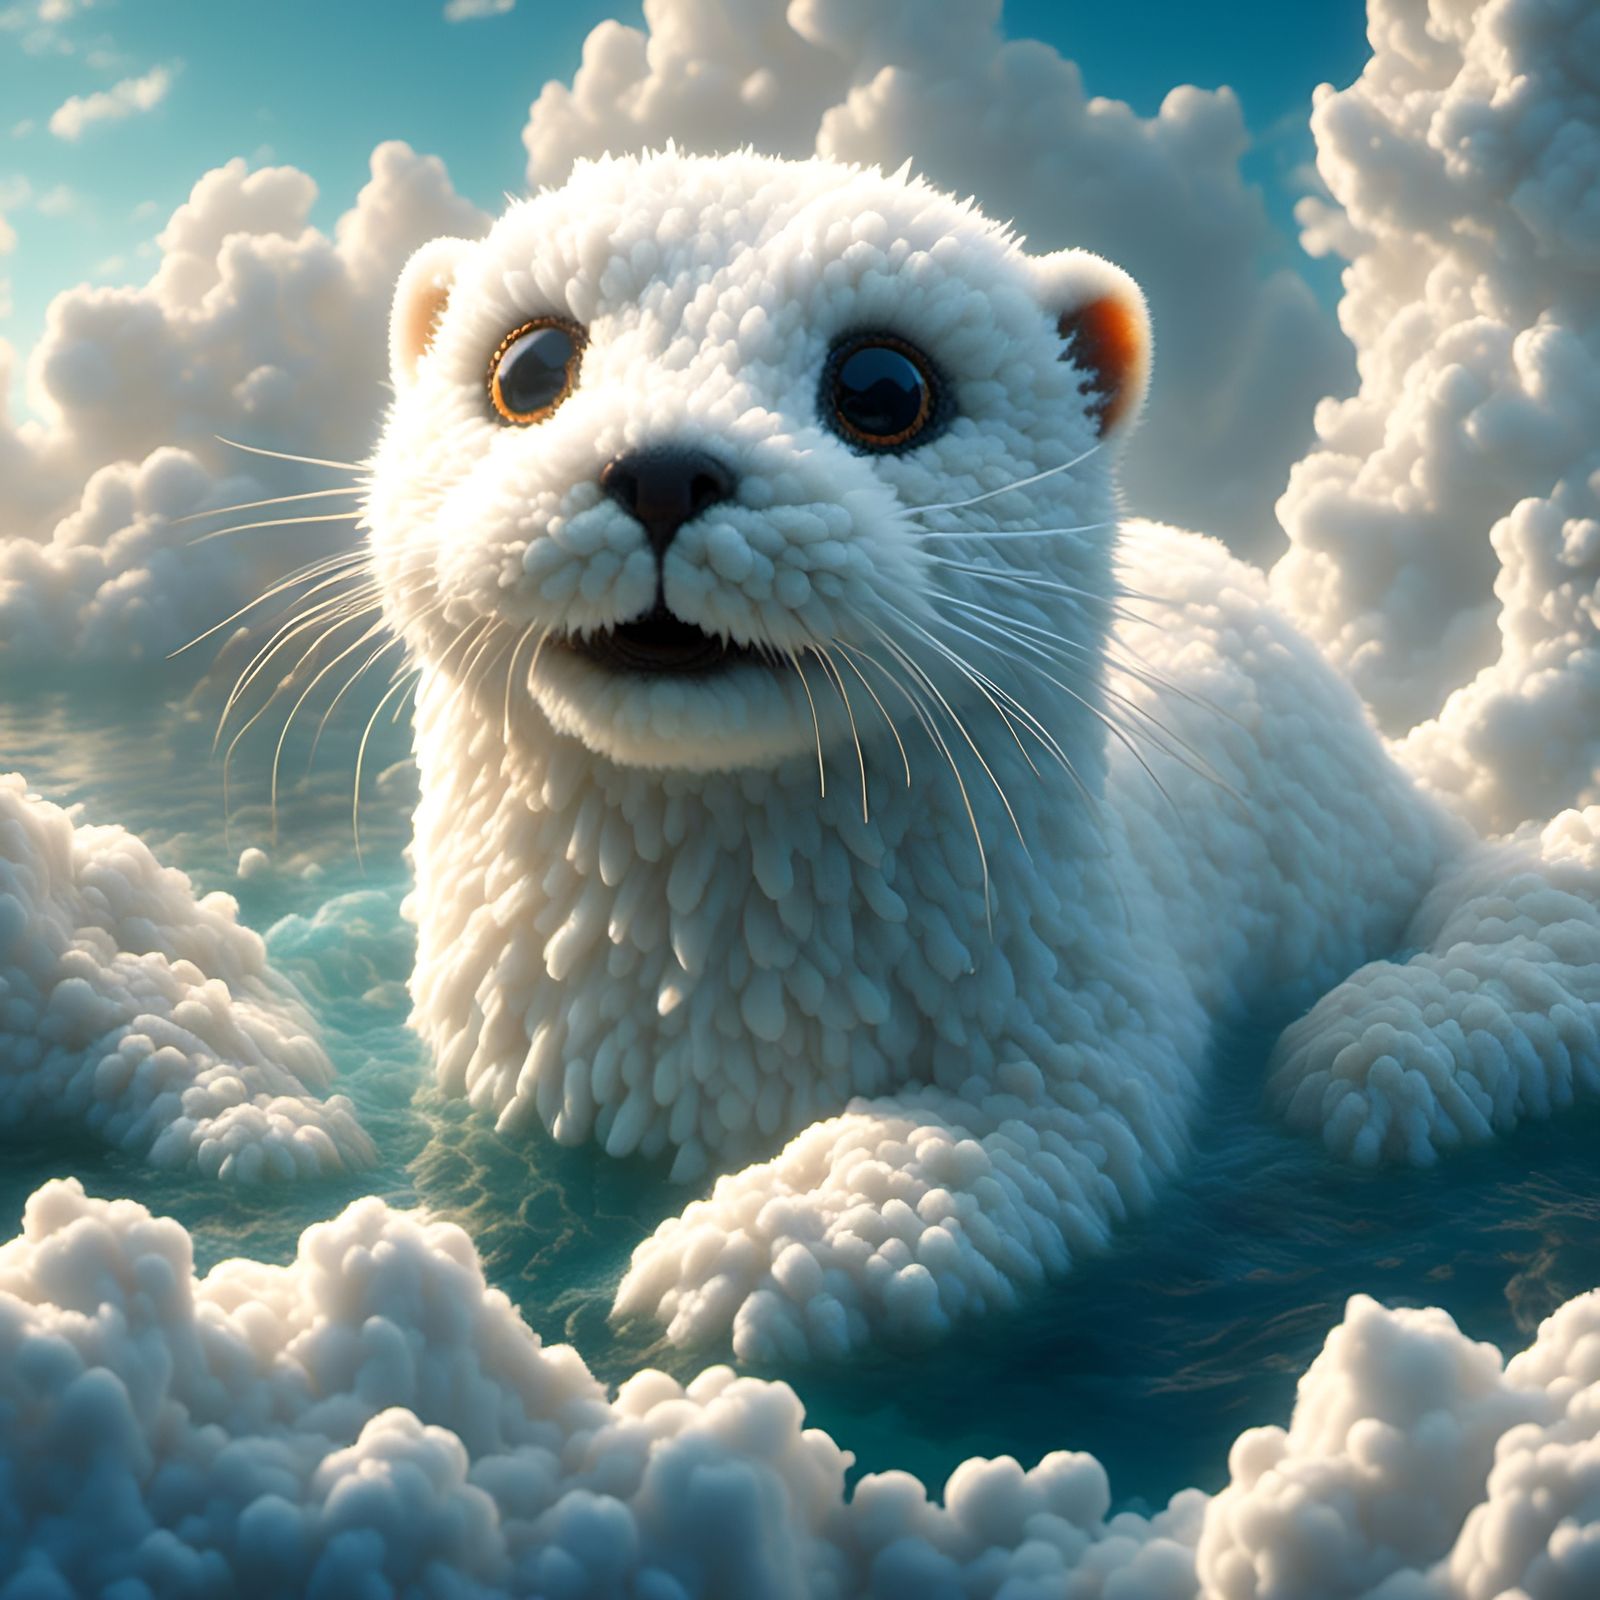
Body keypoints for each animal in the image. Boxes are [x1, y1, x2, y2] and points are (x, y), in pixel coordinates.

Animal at [365, 149, 1600, 1362]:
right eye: (532, 365)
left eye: (883, 387)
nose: (664, 472)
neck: (722, 1010)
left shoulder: (1079, 998)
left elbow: (1015, 1131)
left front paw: (748, 1257)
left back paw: (1380, 1049)